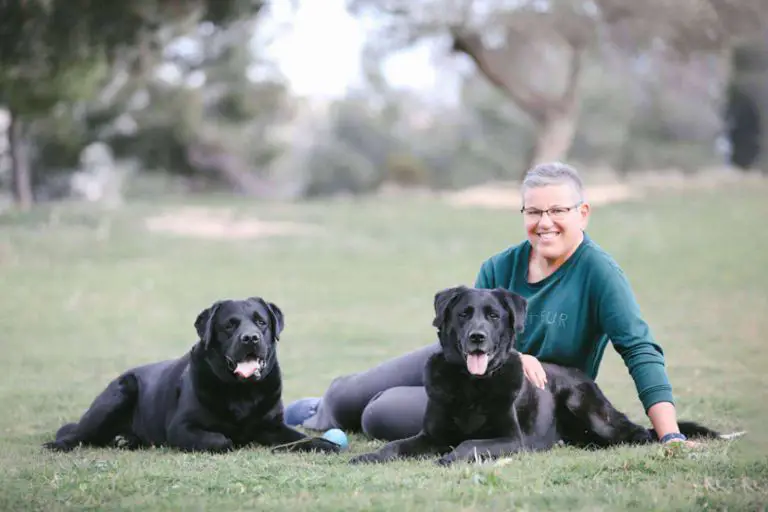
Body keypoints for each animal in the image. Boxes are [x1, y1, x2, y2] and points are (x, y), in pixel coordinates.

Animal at [44, 297, 340, 455]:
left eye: (261, 322)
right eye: (229, 325)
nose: (250, 338)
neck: (241, 392)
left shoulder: (273, 426)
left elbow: (303, 438)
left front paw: (326, 444)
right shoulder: (182, 428)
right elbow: (221, 439)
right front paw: (232, 440)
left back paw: (125, 440)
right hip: (119, 392)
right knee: (79, 433)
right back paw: (59, 444)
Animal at [350, 286, 725, 466]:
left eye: (494, 315)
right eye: (464, 313)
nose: (477, 337)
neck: (472, 386)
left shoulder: (511, 440)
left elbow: (471, 444)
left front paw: (451, 458)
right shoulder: (430, 435)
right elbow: (395, 446)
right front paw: (368, 457)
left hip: (586, 408)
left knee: (639, 434)